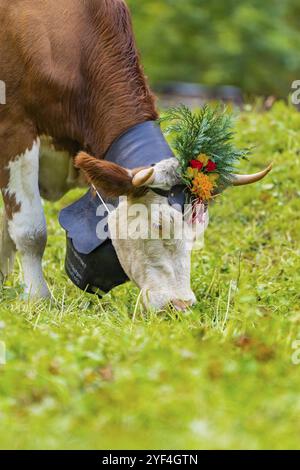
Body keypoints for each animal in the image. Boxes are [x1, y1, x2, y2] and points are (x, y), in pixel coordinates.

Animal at [0, 0, 270, 310]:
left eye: (198, 229)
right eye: (159, 225)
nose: (181, 305)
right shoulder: (15, 129)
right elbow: (30, 230)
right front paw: (37, 297)